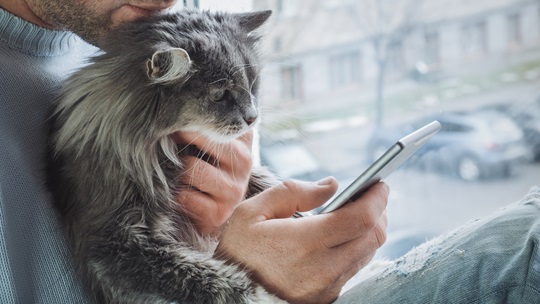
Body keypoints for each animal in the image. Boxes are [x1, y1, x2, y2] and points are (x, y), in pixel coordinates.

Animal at [46, 9, 282, 304]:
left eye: (253, 84)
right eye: (219, 95)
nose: (252, 118)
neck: (164, 147)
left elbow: (263, 180)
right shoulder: (117, 241)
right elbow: (211, 278)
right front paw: (265, 297)